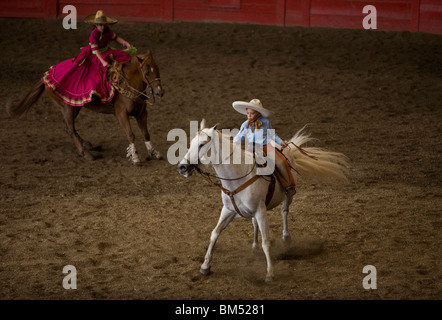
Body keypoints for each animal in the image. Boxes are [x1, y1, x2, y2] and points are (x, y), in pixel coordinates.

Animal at [6, 50, 164, 165]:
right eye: (147, 72)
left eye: (157, 69)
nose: (160, 92)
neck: (127, 84)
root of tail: (45, 76)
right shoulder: (121, 114)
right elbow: (131, 134)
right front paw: (134, 157)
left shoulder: (142, 113)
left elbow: (146, 133)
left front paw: (153, 152)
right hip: (67, 108)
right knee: (70, 129)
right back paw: (86, 153)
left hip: (75, 107)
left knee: (69, 127)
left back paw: (87, 145)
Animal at [177, 119, 348, 280]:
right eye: (192, 143)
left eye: (202, 144)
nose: (182, 167)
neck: (238, 176)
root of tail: (286, 148)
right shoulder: (228, 210)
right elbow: (214, 233)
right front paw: (205, 266)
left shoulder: (260, 211)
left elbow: (266, 242)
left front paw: (270, 273)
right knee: (254, 224)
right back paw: (254, 245)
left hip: (288, 195)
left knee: (284, 211)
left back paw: (286, 238)